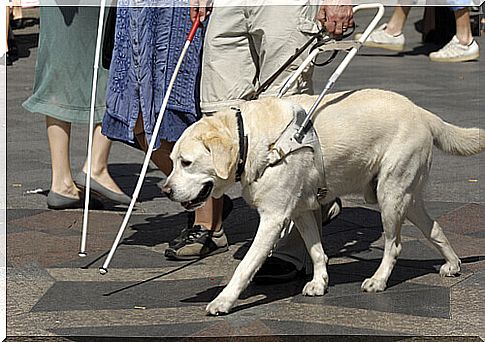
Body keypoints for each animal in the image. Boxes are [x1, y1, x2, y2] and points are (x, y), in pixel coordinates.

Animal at [162, 89, 480, 316]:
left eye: (186, 162)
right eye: (172, 161)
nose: (166, 190)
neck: (251, 139)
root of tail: (421, 112)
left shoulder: (273, 218)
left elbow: (245, 267)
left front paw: (224, 300)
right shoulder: (302, 210)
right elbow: (316, 252)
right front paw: (319, 282)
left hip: (391, 196)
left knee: (394, 245)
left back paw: (378, 280)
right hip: (406, 197)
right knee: (434, 228)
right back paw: (452, 264)